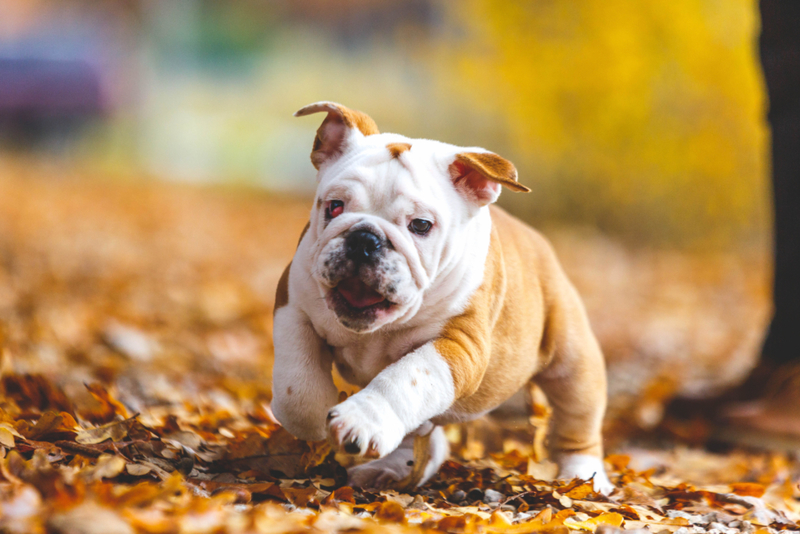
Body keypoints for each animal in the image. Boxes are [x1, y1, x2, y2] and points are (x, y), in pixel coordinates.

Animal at [270, 102, 612, 496]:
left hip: (573, 362)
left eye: (420, 225)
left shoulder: (458, 345)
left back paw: (584, 477)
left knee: (578, 422)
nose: (364, 239)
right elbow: (297, 382)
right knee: (421, 436)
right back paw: (390, 469)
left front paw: (363, 418)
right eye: (335, 206)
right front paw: (312, 417)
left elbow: (405, 378)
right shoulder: (292, 302)